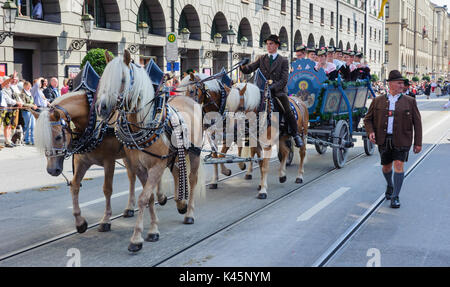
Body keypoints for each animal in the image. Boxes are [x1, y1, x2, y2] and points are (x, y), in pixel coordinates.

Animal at [32, 91, 169, 235]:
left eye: (58, 137)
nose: (52, 170)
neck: (92, 125)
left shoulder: (109, 161)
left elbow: (107, 189)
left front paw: (106, 220)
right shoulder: (82, 162)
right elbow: (74, 186)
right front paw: (80, 222)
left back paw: (160, 196)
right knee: (132, 177)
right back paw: (130, 207)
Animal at [96, 50, 206, 253]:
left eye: (122, 79)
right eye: (103, 78)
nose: (102, 107)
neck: (143, 123)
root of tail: (190, 99)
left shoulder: (157, 165)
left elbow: (143, 198)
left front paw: (137, 237)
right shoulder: (139, 166)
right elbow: (149, 197)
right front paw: (153, 228)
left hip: (194, 153)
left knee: (192, 180)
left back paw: (189, 212)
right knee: (177, 172)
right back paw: (180, 202)